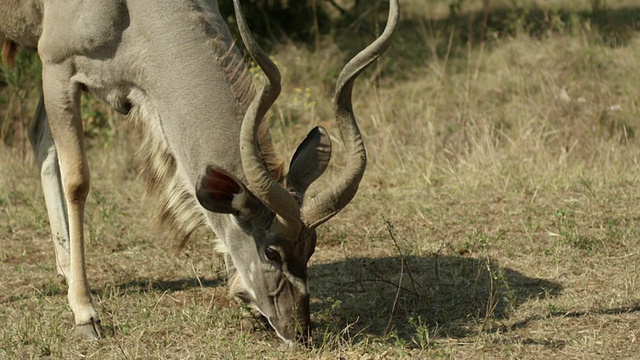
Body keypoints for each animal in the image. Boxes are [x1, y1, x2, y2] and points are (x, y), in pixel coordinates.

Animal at [1, 0, 400, 344]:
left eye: (311, 248)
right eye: (272, 253)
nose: (298, 331)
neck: (132, 12)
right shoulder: (57, 67)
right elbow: (77, 181)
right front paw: (85, 315)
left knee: (38, 138)